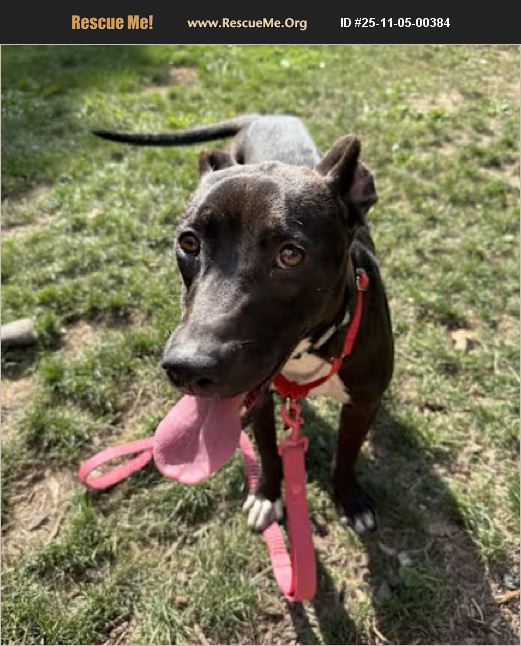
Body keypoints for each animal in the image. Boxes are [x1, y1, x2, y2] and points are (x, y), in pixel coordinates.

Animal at [95, 115, 394, 534]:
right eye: (189, 243)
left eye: (290, 255)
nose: (187, 369)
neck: (309, 351)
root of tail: (266, 115)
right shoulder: (261, 403)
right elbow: (268, 451)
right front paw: (267, 495)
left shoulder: (361, 406)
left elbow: (346, 456)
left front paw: (350, 500)